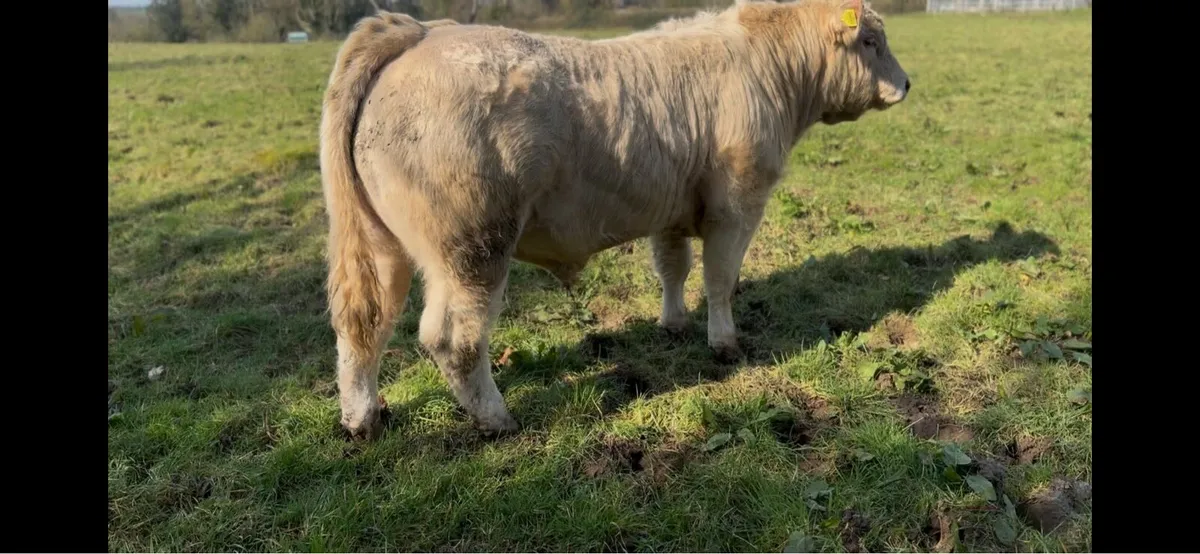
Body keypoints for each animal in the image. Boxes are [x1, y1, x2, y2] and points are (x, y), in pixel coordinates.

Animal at [318, 0, 910, 439]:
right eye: (870, 41)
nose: (906, 84)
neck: (767, 64)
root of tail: (419, 30)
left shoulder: (672, 207)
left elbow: (673, 268)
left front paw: (673, 324)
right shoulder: (737, 204)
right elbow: (720, 279)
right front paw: (724, 344)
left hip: (379, 245)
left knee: (362, 322)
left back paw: (363, 419)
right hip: (472, 247)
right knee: (453, 339)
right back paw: (497, 418)